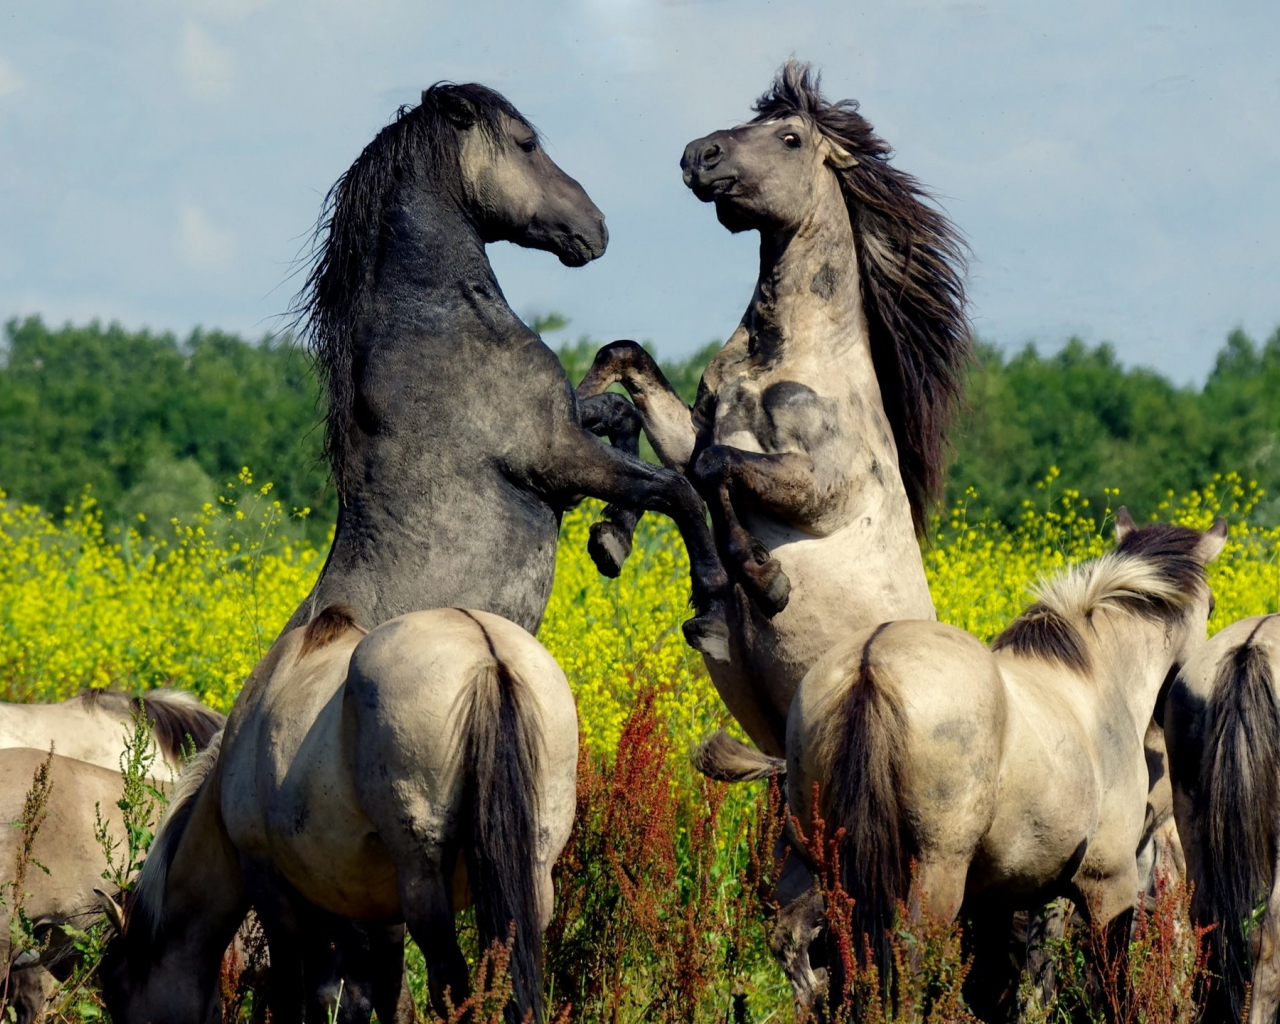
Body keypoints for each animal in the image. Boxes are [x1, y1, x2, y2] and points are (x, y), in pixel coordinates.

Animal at [97, 599, 578, 1024]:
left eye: (116, 990)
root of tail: (485, 652)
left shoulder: (268, 882)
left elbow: (294, 993)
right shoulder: (383, 911)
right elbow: (388, 998)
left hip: (424, 885)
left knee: (450, 988)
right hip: (530, 884)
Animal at [576, 62, 962, 752]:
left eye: (789, 138)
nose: (697, 156)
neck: (785, 357)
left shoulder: (826, 486)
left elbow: (714, 471)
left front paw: (762, 580)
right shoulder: (698, 430)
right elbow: (634, 380)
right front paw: (612, 534)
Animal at [783, 512, 1223, 1013]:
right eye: (1211, 607)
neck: (1097, 676)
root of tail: (868, 663)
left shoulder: (997, 897)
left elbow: (997, 984)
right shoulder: (1109, 882)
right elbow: (1113, 984)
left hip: (835, 873)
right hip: (935, 877)